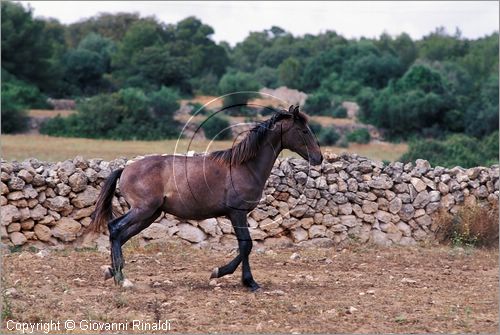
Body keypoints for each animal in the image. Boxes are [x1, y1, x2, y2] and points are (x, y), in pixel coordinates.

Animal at [89, 105, 324, 292]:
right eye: (303, 130)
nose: (318, 158)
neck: (245, 166)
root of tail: (125, 169)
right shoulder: (237, 213)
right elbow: (246, 245)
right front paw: (236, 277)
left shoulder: (238, 215)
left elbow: (244, 246)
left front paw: (236, 277)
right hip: (142, 210)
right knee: (114, 228)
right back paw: (120, 278)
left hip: (149, 215)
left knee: (121, 235)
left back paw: (113, 272)